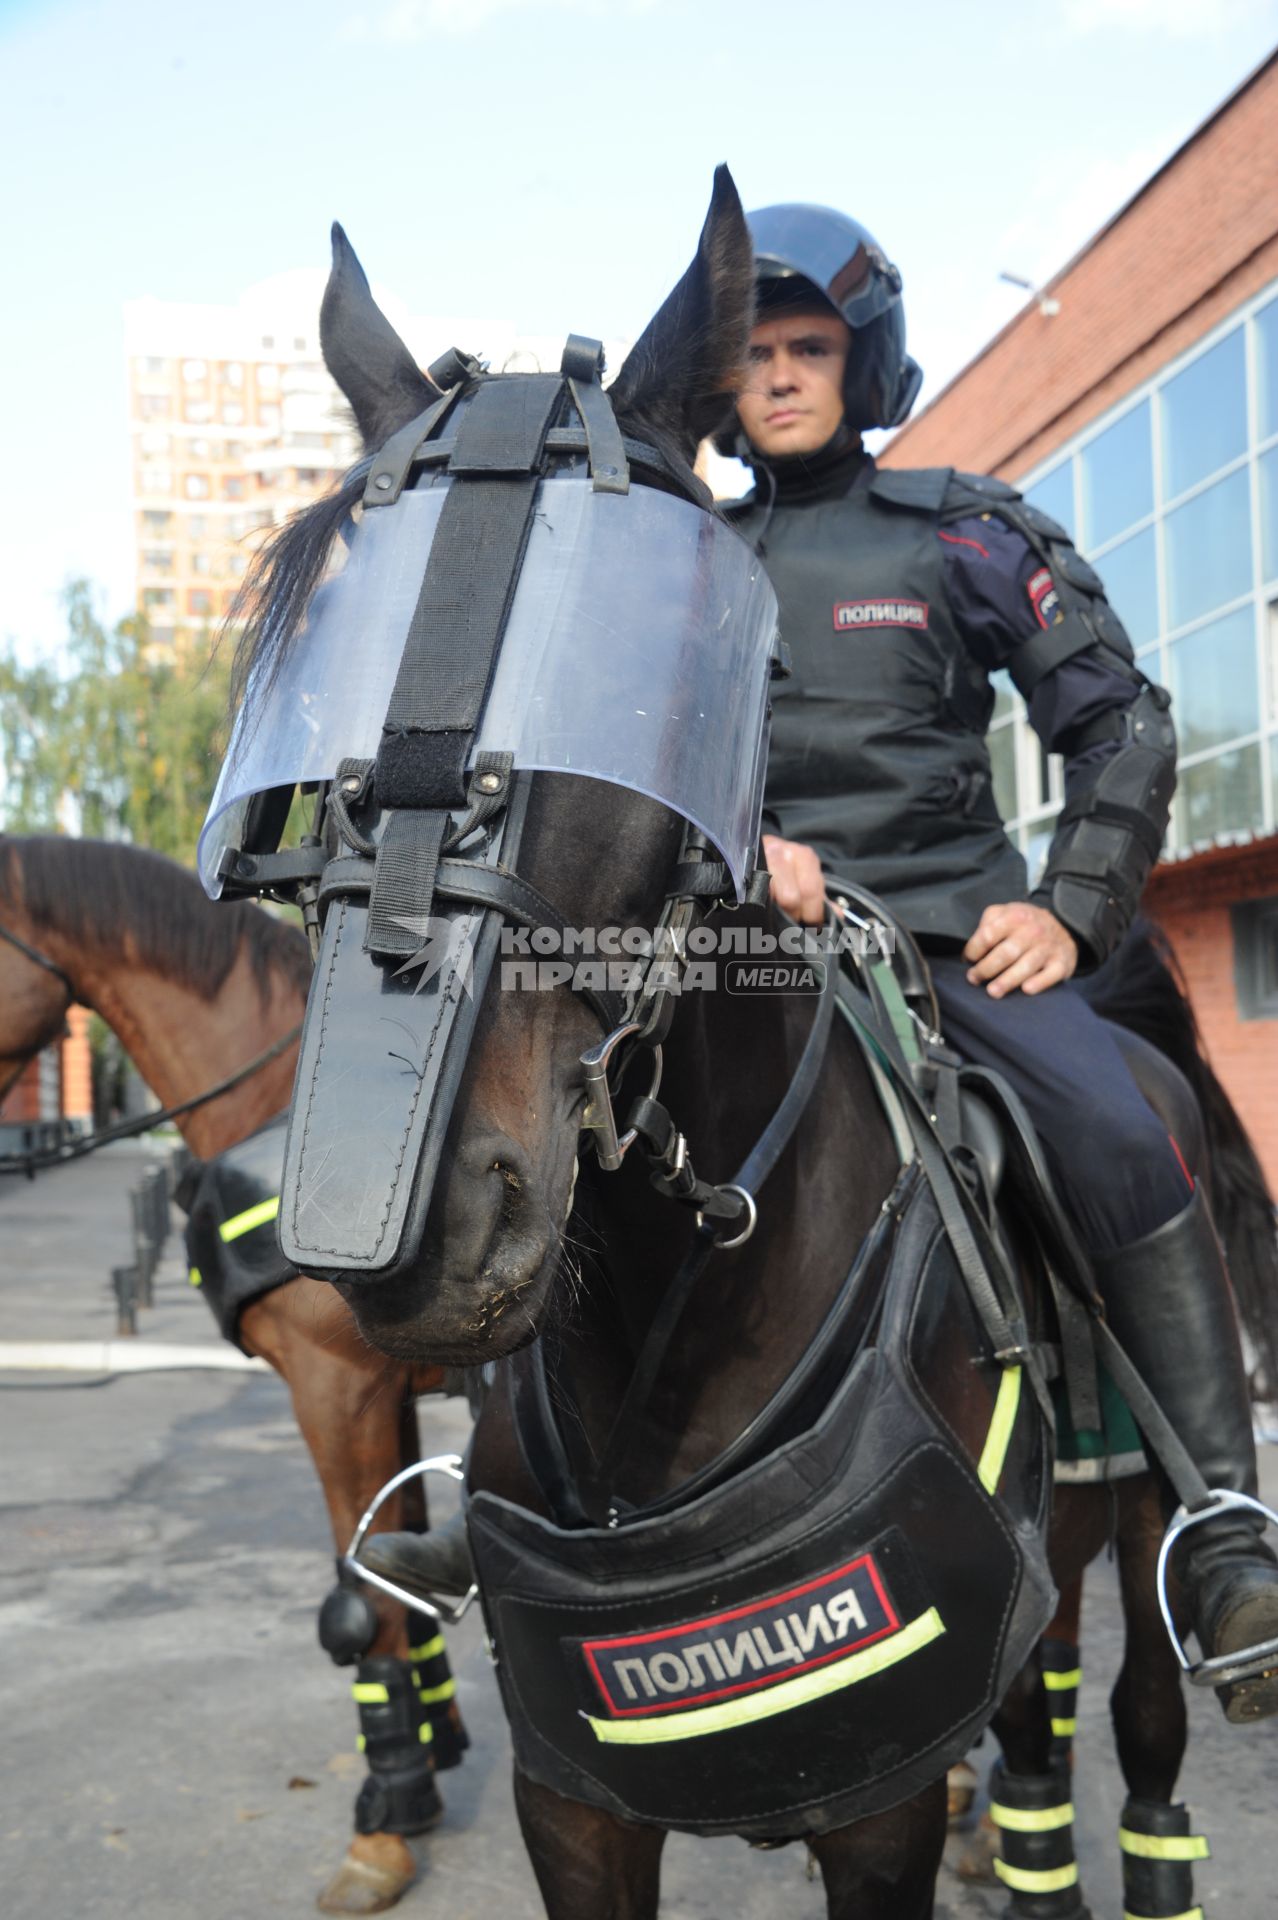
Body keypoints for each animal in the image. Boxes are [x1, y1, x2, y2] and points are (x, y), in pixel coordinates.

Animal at [221, 172, 1274, 1912]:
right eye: (319, 715)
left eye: (642, 676)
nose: (423, 1227)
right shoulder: (577, 1809)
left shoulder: (874, 1803)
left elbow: (1106, 710)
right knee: (1041, 1695)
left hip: (1135, 1503)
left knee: (1136, 1709)